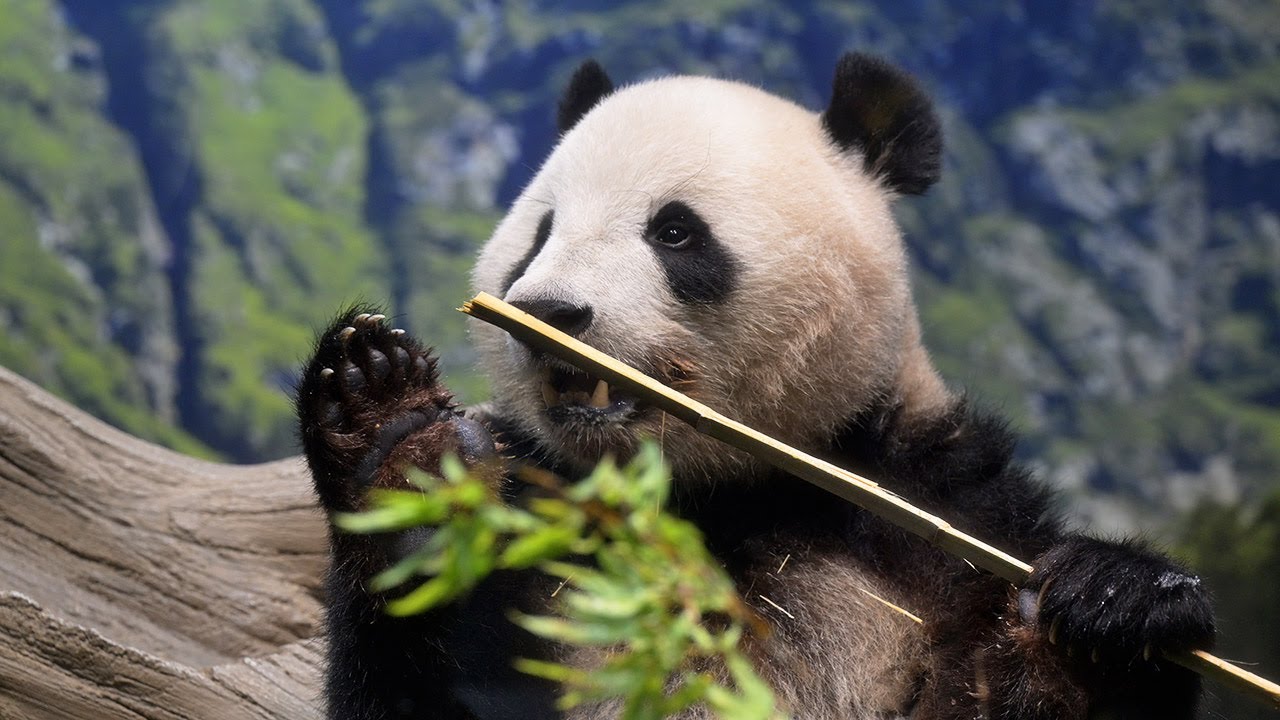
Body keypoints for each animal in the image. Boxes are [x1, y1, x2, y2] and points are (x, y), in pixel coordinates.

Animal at [296, 54, 1216, 720]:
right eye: (541, 232)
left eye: (674, 231)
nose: (546, 310)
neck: (715, 488)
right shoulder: (544, 515)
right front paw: (399, 441)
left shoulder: (937, 509)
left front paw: (1102, 615)